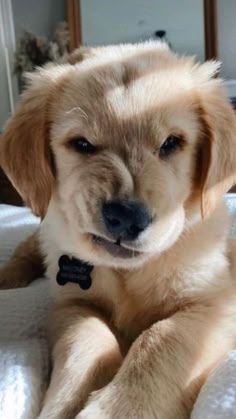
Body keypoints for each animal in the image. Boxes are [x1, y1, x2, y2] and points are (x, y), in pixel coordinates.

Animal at [0, 40, 236, 419]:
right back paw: (7, 279)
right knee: (24, 253)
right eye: (82, 144)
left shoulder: (216, 303)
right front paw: (65, 405)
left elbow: (161, 337)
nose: (125, 217)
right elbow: (88, 339)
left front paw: (118, 409)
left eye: (171, 143)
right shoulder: (71, 303)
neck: (129, 272)